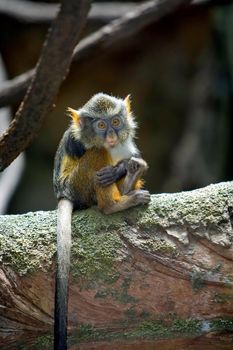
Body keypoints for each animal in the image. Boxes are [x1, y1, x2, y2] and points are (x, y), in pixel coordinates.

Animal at [53, 93, 149, 350]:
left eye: (115, 122)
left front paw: (123, 168)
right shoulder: (77, 142)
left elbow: (132, 156)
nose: (113, 135)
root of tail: (66, 194)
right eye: (101, 126)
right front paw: (118, 169)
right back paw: (113, 204)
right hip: (78, 185)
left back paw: (129, 180)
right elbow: (95, 150)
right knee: (96, 153)